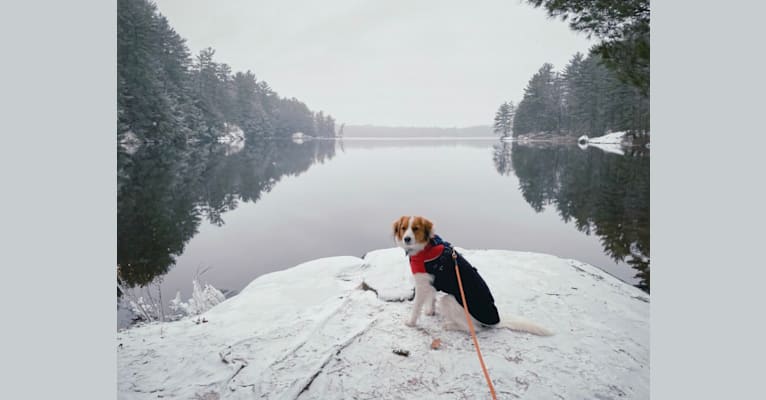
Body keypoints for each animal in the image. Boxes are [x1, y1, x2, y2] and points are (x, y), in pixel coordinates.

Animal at [396, 216, 552, 334]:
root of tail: (496, 321)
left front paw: (411, 322)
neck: (426, 248)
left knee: (474, 329)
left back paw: (450, 325)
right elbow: (431, 298)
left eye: (415, 228)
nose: (406, 239)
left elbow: (417, 307)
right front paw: (430, 312)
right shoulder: (431, 282)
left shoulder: (422, 284)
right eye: (404, 228)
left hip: (449, 300)